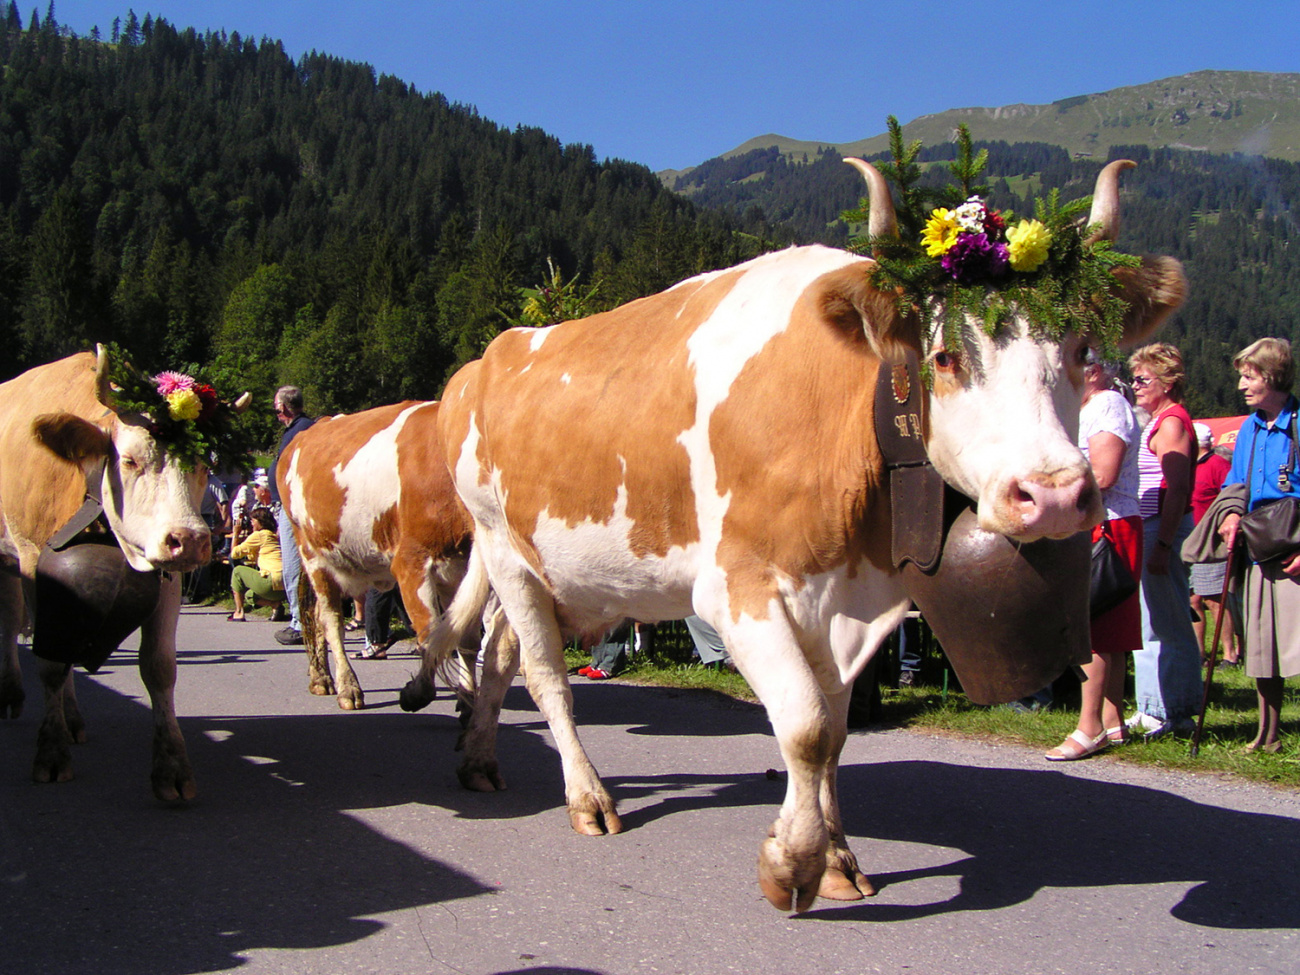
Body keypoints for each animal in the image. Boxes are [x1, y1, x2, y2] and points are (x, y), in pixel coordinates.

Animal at [0, 346, 232, 800]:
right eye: (129, 460)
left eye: (201, 465)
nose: (190, 539)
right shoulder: (33, 559)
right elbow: (49, 662)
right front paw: (50, 754)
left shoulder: (168, 576)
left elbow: (159, 667)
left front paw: (172, 768)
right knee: (11, 623)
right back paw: (14, 695)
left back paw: (71, 718)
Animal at [276, 401, 477, 711]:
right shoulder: (411, 562)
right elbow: (431, 633)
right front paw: (416, 693)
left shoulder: (462, 568)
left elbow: (465, 638)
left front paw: (469, 701)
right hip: (312, 553)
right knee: (331, 619)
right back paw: (347, 687)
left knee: (314, 612)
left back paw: (321, 678)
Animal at [406, 159, 1187, 912]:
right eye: (943, 357)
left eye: (1081, 349)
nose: (1053, 493)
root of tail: (483, 362)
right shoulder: (739, 591)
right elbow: (805, 726)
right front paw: (794, 863)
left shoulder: (843, 603)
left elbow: (832, 733)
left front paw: (837, 859)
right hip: (504, 547)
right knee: (545, 677)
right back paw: (587, 796)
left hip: (549, 571)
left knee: (497, 652)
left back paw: (479, 758)